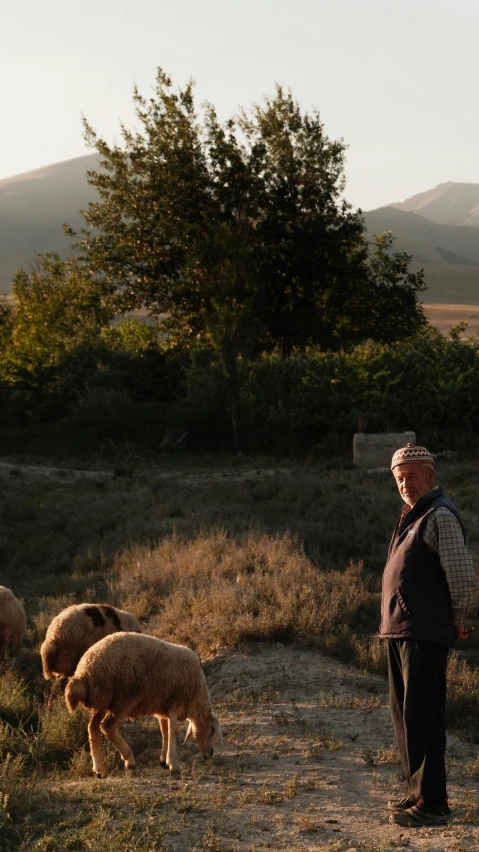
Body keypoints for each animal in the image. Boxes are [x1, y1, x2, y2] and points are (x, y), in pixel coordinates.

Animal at [64, 632, 224, 780]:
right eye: (212, 731)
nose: (210, 753)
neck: (196, 697)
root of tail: (84, 671)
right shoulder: (174, 703)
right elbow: (172, 731)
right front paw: (173, 764)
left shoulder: (163, 708)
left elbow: (164, 731)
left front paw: (164, 761)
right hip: (123, 700)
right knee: (107, 726)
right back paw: (129, 759)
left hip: (103, 702)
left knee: (93, 729)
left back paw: (99, 770)